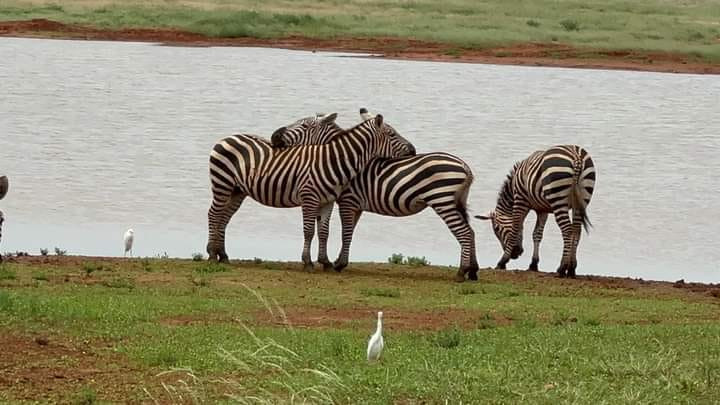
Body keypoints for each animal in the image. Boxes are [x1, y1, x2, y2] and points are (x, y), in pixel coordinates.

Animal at [205, 111, 414, 268]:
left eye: (304, 126)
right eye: (392, 134)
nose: (413, 150)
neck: (331, 160)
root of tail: (227, 137)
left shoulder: (328, 201)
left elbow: (324, 231)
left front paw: (326, 262)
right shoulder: (309, 198)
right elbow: (308, 231)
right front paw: (307, 262)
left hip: (237, 190)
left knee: (224, 217)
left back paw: (222, 255)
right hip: (222, 183)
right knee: (214, 214)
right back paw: (211, 254)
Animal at [272, 109, 480, 282]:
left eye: (303, 126)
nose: (274, 136)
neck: (340, 161)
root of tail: (465, 166)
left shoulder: (348, 201)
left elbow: (346, 233)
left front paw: (339, 264)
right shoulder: (354, 205)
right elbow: (349, 232)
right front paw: (339, 261)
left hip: (442, 201)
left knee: (463, 232)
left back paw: (461, 272)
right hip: (457, 201)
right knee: (470, 231)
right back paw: (473, 271)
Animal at [478, 145, 596, 278]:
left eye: (497, 229)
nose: (515, 254)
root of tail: (576, 156)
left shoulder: (520, 200)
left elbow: (515, 230)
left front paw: (502, 261)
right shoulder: (542, 210)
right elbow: (537, 234)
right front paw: (533, 264)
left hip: (558, 199)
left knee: (567, 230)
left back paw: (562, 268)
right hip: (583, 199)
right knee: (576, 231)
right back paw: (571, 269)